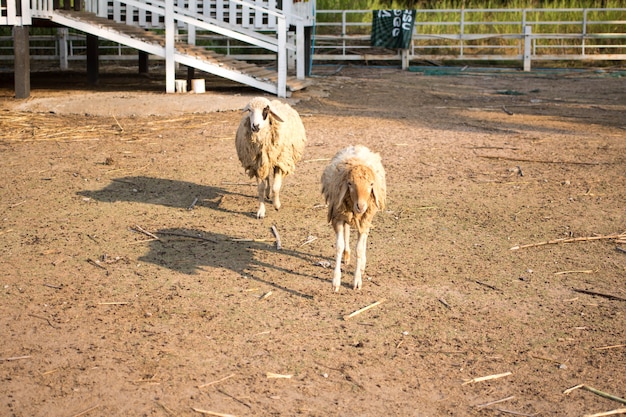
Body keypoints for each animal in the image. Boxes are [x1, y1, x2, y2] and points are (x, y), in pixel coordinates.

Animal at [322, 145, 386, 290]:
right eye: (350, 184)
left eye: (371, 184)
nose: (361, 206)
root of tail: (357, 147)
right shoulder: (338, 216)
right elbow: (339, 247)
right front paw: (336, 281)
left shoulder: (364, 220)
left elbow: (359, 250)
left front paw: (357, 281)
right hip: (345, 213)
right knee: (347, 230)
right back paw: (346, 255)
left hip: (366, 218)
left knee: (364, 237)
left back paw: (362, 265)